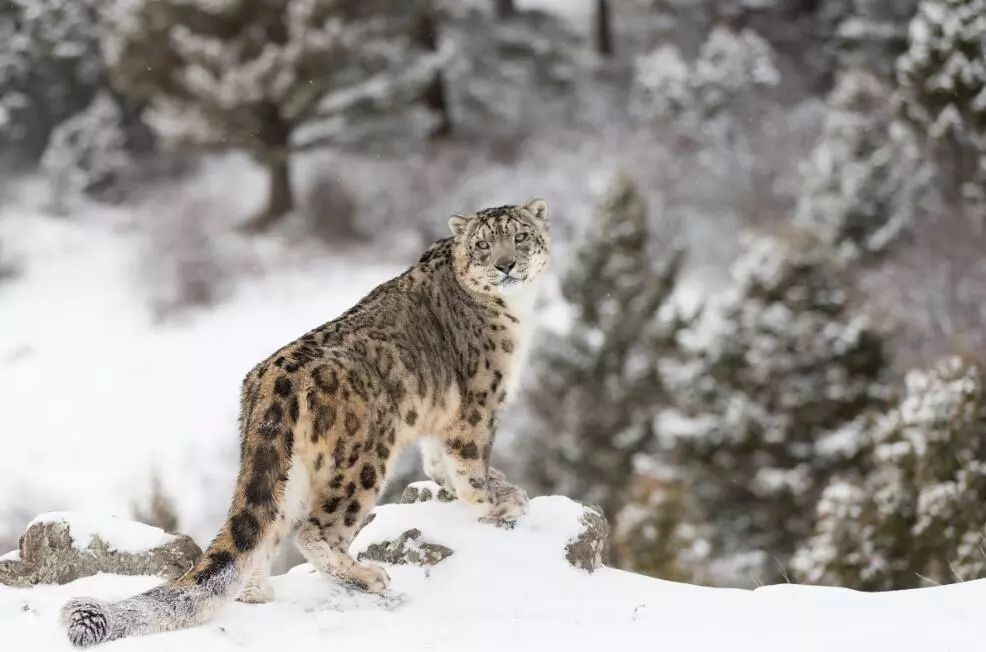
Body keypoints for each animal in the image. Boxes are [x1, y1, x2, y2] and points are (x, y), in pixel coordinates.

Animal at [59, 197, 552, 640]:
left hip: (285, 471)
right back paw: (367, 577)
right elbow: (470, 464)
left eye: (520, 237)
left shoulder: (443, 417)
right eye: (483, 245)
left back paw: (257, 592)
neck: (516, 311)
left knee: (266, 531)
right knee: (315, 530)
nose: (506, 265)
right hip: (363, 458)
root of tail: (271, 379)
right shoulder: (479, 404)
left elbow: (437, 461)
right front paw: (498, 501)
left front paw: (474, 487)